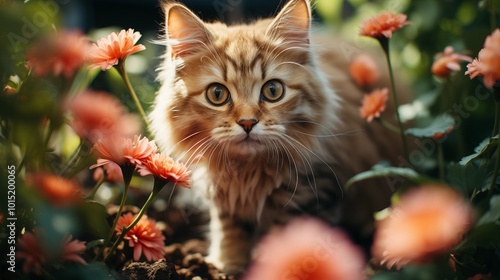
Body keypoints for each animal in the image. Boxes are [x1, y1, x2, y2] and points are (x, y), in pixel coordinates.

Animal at [151, 0, 406, 274]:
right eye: (217, 94)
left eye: (273, 90)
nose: (248, 122)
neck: (249, 172)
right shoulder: (225, 198)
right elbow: (229, 231)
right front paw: (225, 266)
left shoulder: (314, 191)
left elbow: (290, 240)